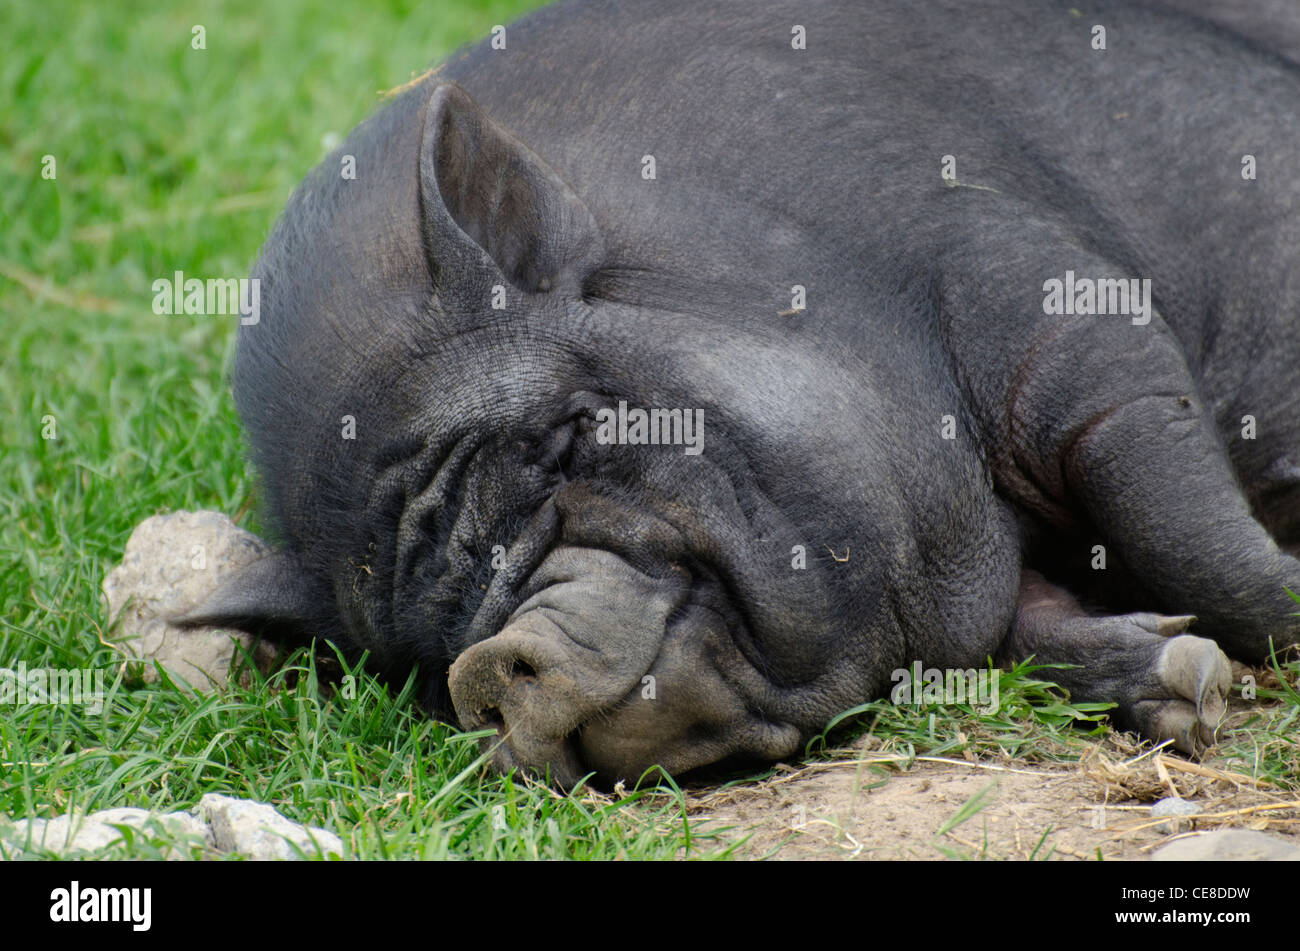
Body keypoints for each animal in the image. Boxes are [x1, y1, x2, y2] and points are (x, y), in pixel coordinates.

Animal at [180, 0, 1300, 789]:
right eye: (428, 649)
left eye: (571, 438)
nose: (493, 659)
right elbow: (1020, 624)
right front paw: (1185, 682)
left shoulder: (1050, 310)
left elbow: (1181, 524)